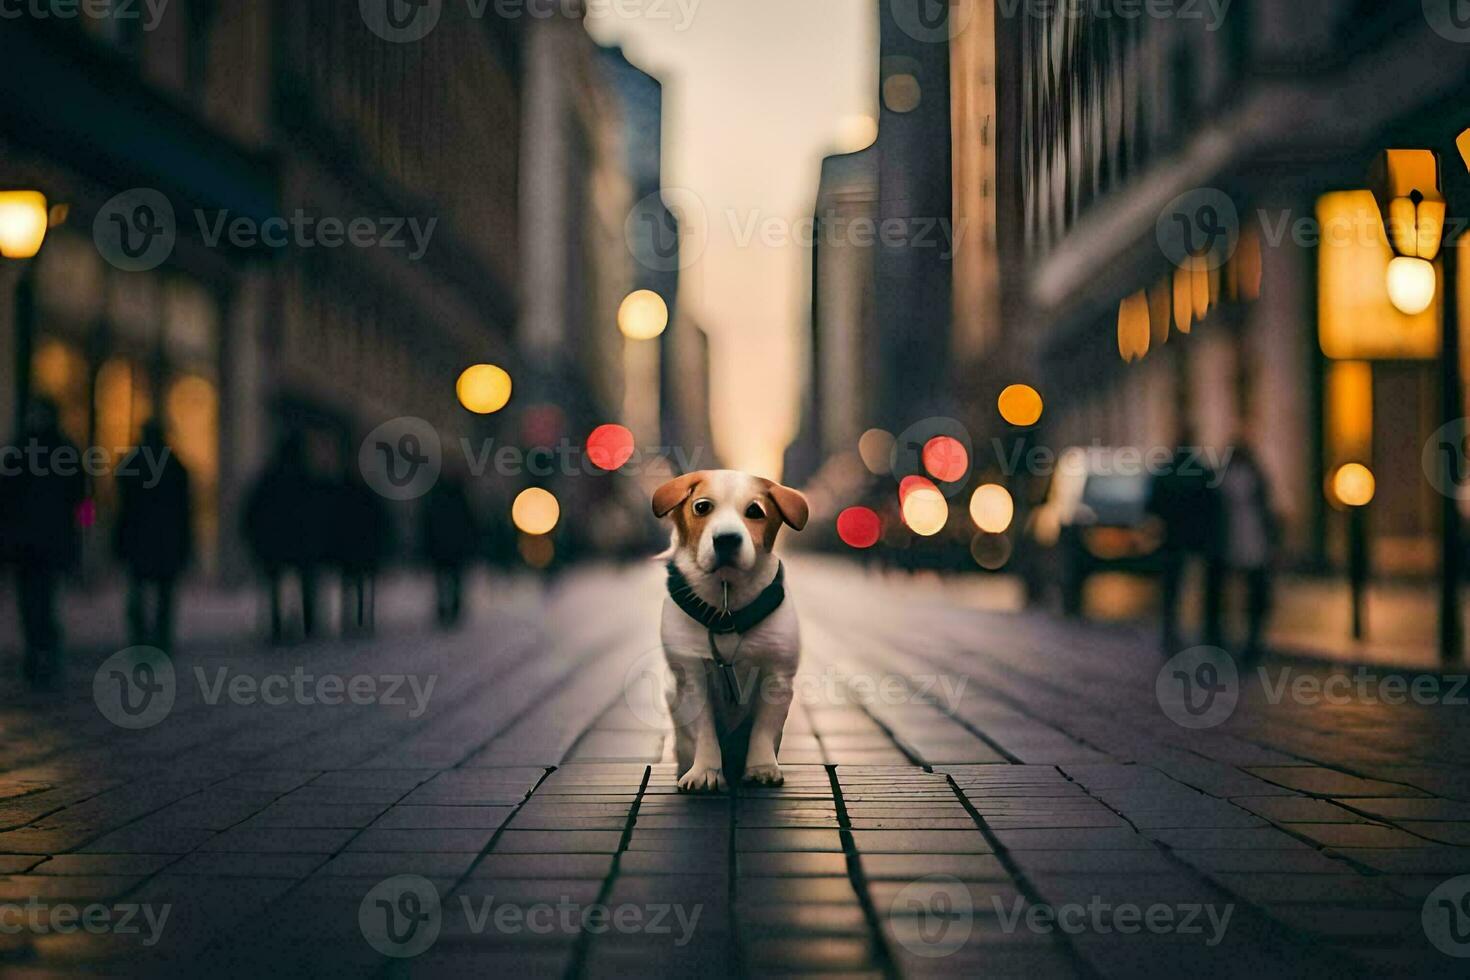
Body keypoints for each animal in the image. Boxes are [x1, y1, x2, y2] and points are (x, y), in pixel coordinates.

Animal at [655, 470, 811, 793]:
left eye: (755, 511)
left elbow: (763, 730)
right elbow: (704, 732)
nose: (726, 539)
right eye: (701, 507)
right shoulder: (691, 677)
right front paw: (705, 771)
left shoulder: (777, 676)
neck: (726, 606)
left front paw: (761, 768)